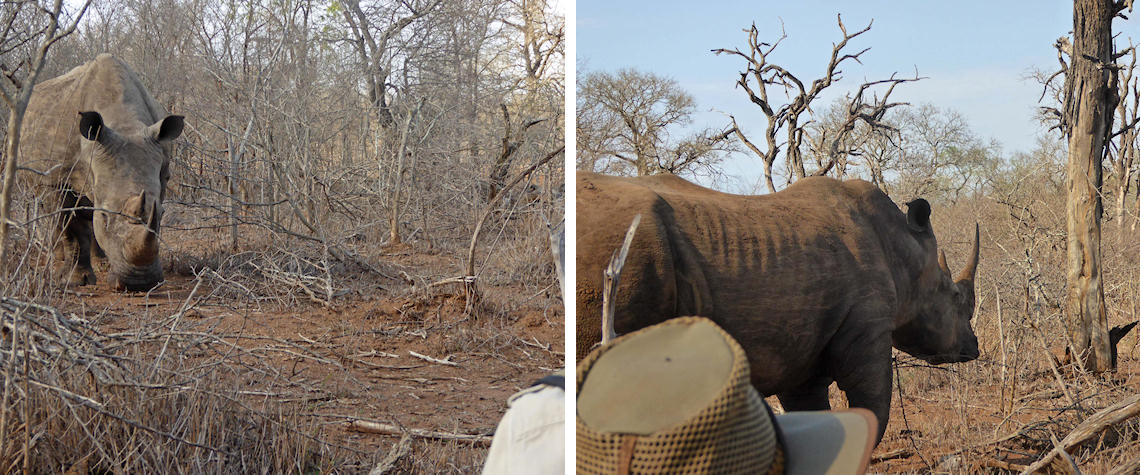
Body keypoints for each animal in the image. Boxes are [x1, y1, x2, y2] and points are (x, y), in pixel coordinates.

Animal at [18, 51, 183, 289]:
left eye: (162, 214)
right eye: (105, 216)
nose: (140, 283)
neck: (124, 124)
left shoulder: (163, 173)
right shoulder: (57, 179)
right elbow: (72, 227)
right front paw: (77, 281)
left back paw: (102, 263)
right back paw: (58, 258)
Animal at [579, 170, 980, 439]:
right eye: (953, 297)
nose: (972, 349)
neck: (904, 251)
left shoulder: (802, 352)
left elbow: (816, 416)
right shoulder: (867, 325)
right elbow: (872, 410)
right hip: (627, 248)